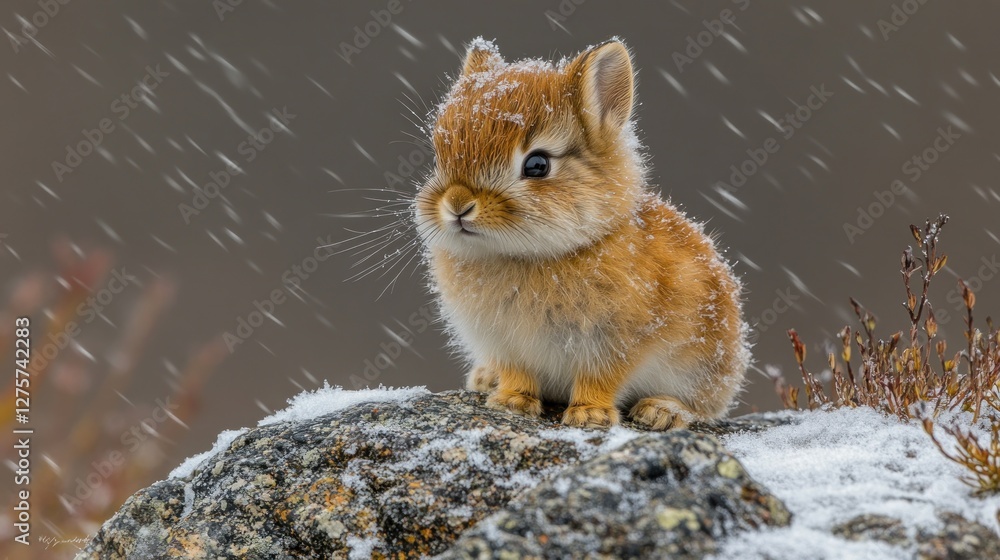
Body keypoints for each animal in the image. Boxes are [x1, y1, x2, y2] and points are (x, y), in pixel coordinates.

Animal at [413, 37, 750, 430]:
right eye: (440, 156)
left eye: (537, 165)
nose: (458, 204)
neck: (532, 255)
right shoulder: (506, 345)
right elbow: (518, 373)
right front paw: (512, 402)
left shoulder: (612, 343)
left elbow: (600, 378)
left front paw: (589, 415)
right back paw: (485, 379)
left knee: (705, 408)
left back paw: (662, 412)